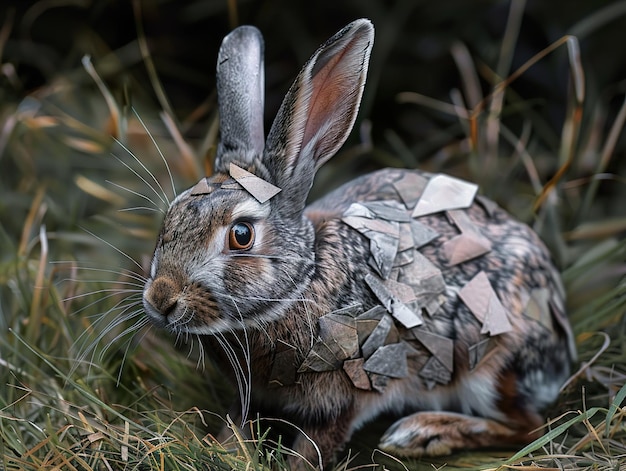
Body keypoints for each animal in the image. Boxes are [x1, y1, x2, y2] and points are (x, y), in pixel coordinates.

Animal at [141, 17, 576, 468]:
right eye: (172, 214)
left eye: (241, 235)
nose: (161, 299)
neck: (305, 281)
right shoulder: (251, 396)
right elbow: (236, 425)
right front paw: (225, 449)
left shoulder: (347, 396)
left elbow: (314, 448)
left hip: (490, 362)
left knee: (528, 427)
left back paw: (422, 432)